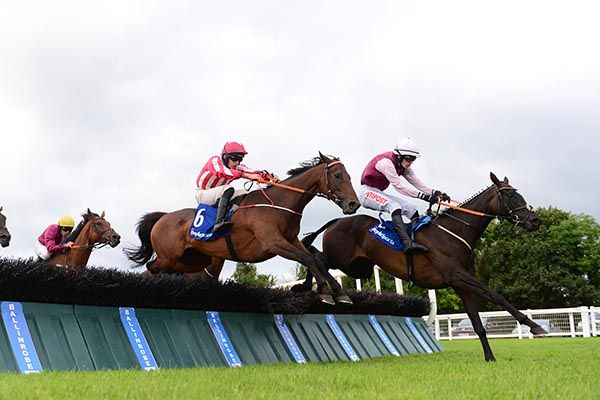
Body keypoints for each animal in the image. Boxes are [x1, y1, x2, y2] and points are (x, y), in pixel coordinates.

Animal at [125, 153, 358, 304]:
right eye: (337, 175)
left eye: (349, 176)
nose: (353, 204)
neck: (279, 203)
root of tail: (162, 217)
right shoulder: (273, 243)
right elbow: (308, 258)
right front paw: (325, 292)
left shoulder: (292, 240)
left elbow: (316, 259)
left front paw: (340, 293)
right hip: (169, 257)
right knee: (151, 268)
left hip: (193, 260)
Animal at [298, 173, 544, 362]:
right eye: (510, 195)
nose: (535, 221)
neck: (454, 233)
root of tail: (336, 222)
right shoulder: (457, 276)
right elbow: (496, 296)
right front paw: (534, 326)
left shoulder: (461, 284)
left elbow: (478, 324)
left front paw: (490, 357)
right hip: (341, 258)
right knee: (314, 257)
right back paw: (324, 290)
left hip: (357, 267)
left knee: (315, 257)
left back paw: (311, 288)